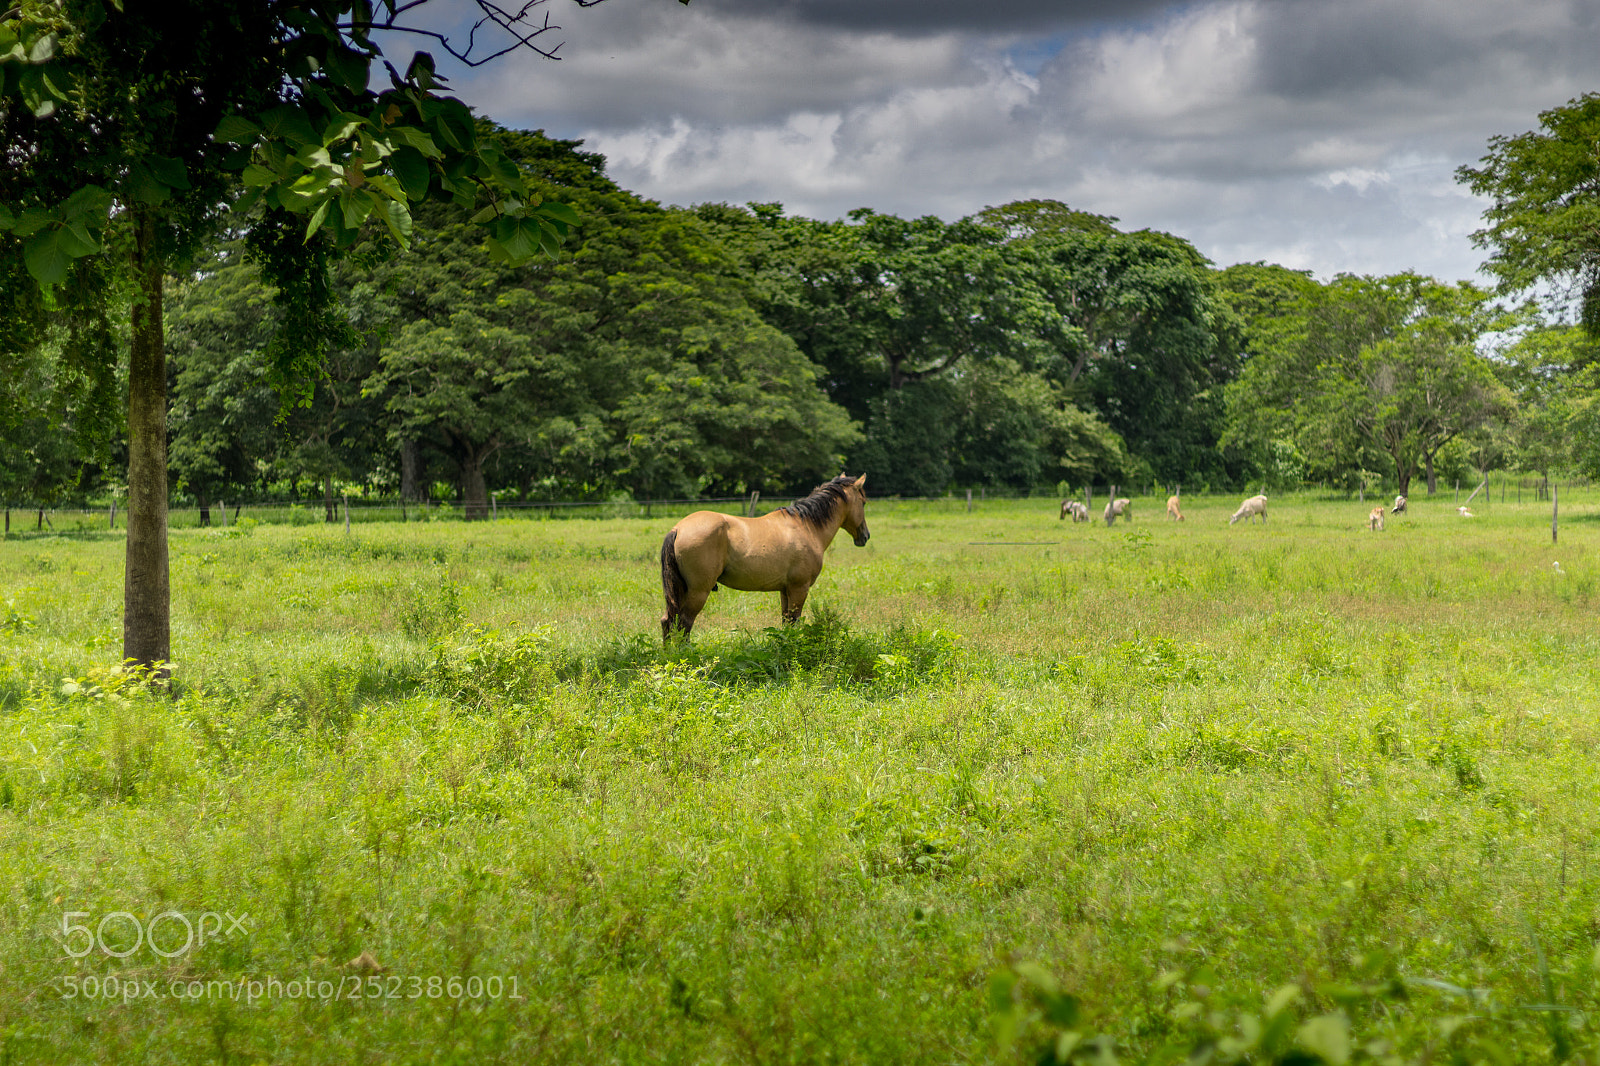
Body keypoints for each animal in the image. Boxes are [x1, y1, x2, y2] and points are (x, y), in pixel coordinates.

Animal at [660, 474, 869, 642]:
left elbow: (786, 624)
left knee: (668, 622)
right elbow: (794, 623)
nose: (865, 536)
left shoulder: (785, 590)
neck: (806, 527)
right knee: (684, 624)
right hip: (698, 591)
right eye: (863, 502)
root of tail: (678, 529)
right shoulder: (799, 589)